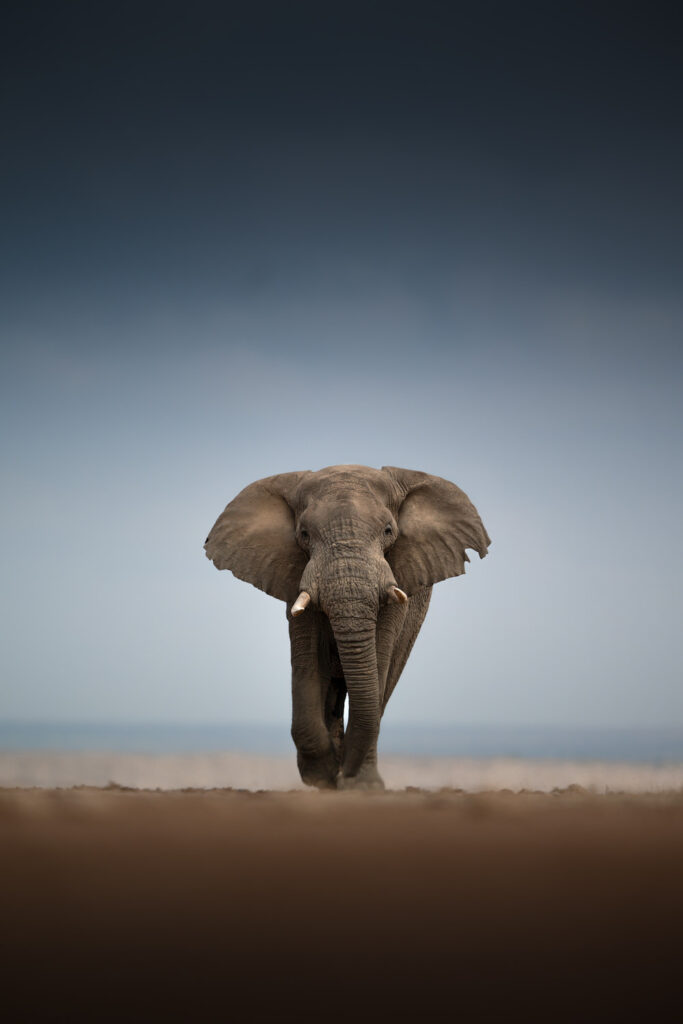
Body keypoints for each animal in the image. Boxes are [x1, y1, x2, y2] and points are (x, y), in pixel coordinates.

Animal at [204, 465, 490, 790]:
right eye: (304, 534)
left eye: (388, 531)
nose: (342, 773)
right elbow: (307, 658)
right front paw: (321, 775)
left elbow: (378, 660)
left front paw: (350, 780)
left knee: (384, 684)